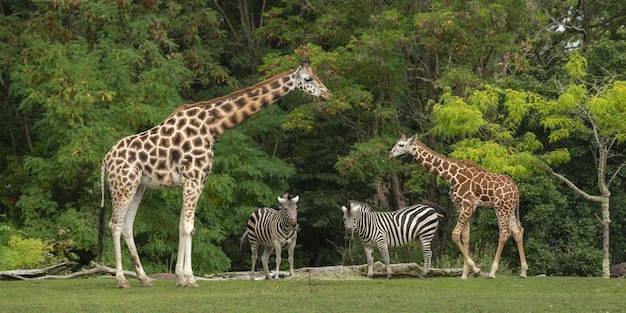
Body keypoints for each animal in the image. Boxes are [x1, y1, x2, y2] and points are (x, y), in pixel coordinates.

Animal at [98, 59, 332, 286]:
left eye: (318, 75)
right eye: (308, 78)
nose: (328, 94)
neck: (212, 127)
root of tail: (105, 161)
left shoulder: (197, 182)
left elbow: (183, 226)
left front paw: (180, 278)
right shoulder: (192, 179)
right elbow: (188, 227)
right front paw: (190, 278)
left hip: (139, 186)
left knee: (127, 226)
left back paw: (144, 278)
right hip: (123, 185)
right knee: (115, 225)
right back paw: (122, 280)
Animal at [388, 132, 524, 278]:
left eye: (401, 144)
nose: (390, 154)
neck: (452, 177)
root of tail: (516, 190)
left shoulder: (468, 206)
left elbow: (455, 234)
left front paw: (475, 269)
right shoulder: (460, 206)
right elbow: (465, 237)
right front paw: (464, 274)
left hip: (500, 208)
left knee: (505, 232)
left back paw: (492, 273)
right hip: (509, 208)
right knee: (517, 230)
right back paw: (523, 272)